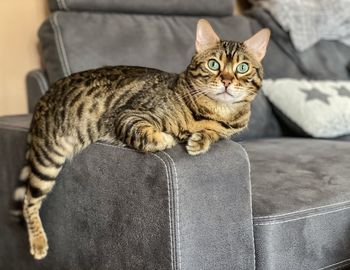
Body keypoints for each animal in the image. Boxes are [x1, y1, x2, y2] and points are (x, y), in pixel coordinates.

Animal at [13, 19, 270, 260]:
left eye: (243, 68)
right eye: (213, 64)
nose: (226, 81)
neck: (214, 112)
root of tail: (43, 97)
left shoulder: (227, 129)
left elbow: (214, 134)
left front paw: (200, 140)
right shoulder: (129, 115)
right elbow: (144, 134)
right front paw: (167, 138)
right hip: (48, 158)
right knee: (28, 201)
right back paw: (38, 243)